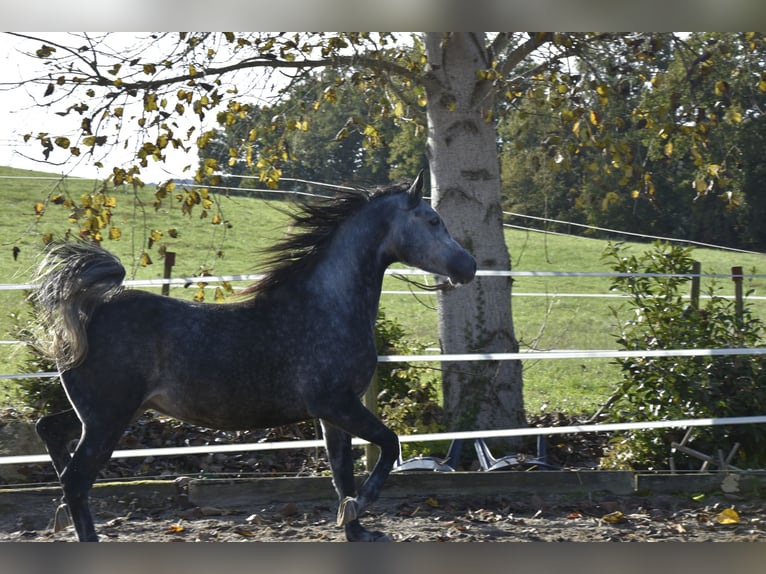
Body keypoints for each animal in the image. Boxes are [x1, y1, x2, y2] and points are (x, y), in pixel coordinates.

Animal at [33, 173, 476, 544]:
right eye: (433, 220)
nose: (468, 266)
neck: (328, 307)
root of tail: (90, 309)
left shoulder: (332, 415)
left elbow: (342, 475)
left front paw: (356, 528)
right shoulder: (337, 404)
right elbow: (388, 445)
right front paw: (358, 510)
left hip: (102, 412)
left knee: (50, 433)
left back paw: (59, 515)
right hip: (108, 418)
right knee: (76, 480)